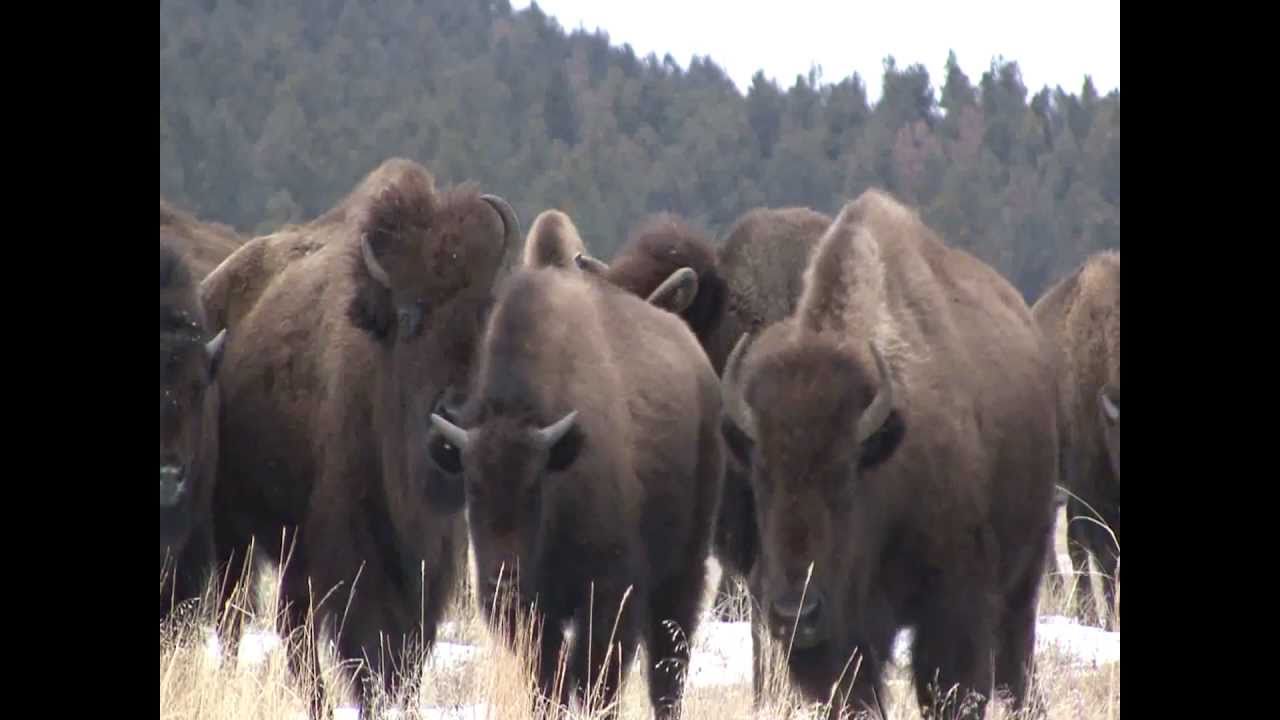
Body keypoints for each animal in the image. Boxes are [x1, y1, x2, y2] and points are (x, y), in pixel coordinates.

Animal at [200, 157, 522, 709]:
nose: (456, 413)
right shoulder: (349, 551)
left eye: (487, 310)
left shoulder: (429, 561)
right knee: (240, 615)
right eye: (411, 315)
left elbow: (409, 649)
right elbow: (363, 645)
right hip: (234, 532)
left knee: (289, 624)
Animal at [425, 265, 725, 719]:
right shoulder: (535, 617)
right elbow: (550, 679)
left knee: (668, 663)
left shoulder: (609, 597)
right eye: (472, 487)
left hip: (684, 566)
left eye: (535, 487)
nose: (503, 581)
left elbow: (595, 677)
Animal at [720, 189, 1059, 719]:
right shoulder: (850, 639)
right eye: (761, 476)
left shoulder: (954, 606)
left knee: (1015, 662)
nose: (797, 614)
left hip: (1024, 572)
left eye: (843, 476)